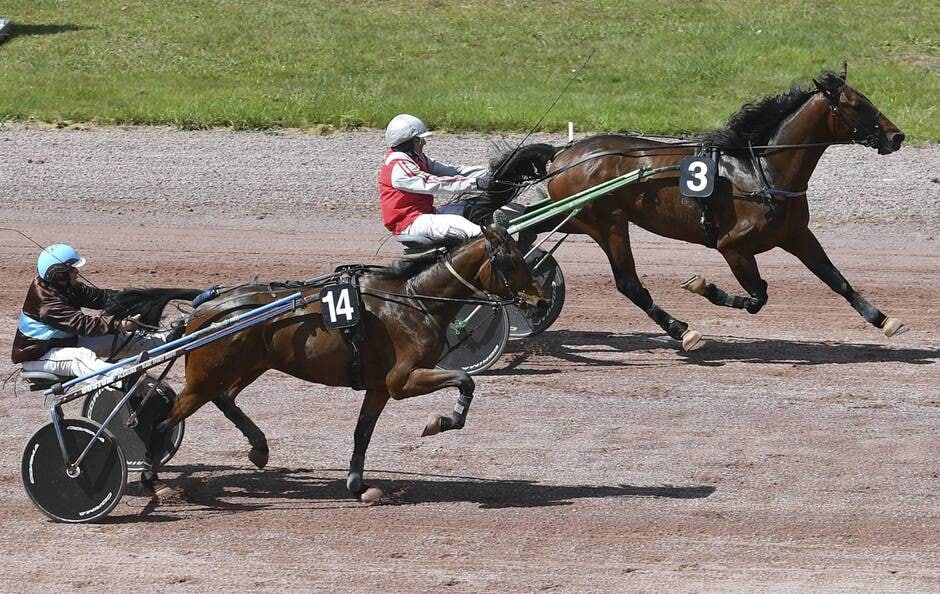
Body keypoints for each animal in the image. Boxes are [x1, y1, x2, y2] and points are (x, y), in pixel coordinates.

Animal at [143, 224, 548, 502]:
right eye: (510, 260)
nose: (541, 302)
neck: (413, 302)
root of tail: (206, 308)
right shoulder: (402, 380)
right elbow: (466, 379)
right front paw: (440, 421)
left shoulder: (379, 387)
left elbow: (362, 433)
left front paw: (358, 485)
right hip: (207, 377)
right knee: (162, 422)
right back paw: (153, 479)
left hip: (248, 366)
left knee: (224, 399)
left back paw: (258, 447)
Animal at [500, 68, 904, 346]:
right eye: (858, 105)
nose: (897, 136)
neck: (760, 171)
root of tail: (561, 153)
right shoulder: (733, 246)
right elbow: (757, 297)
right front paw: (702, 286)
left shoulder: (797, 235)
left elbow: (836, 278)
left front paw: (883, 318)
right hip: (606, 223)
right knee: (629, 283)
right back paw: (682, 330)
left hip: (576, 216)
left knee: (522, 226)